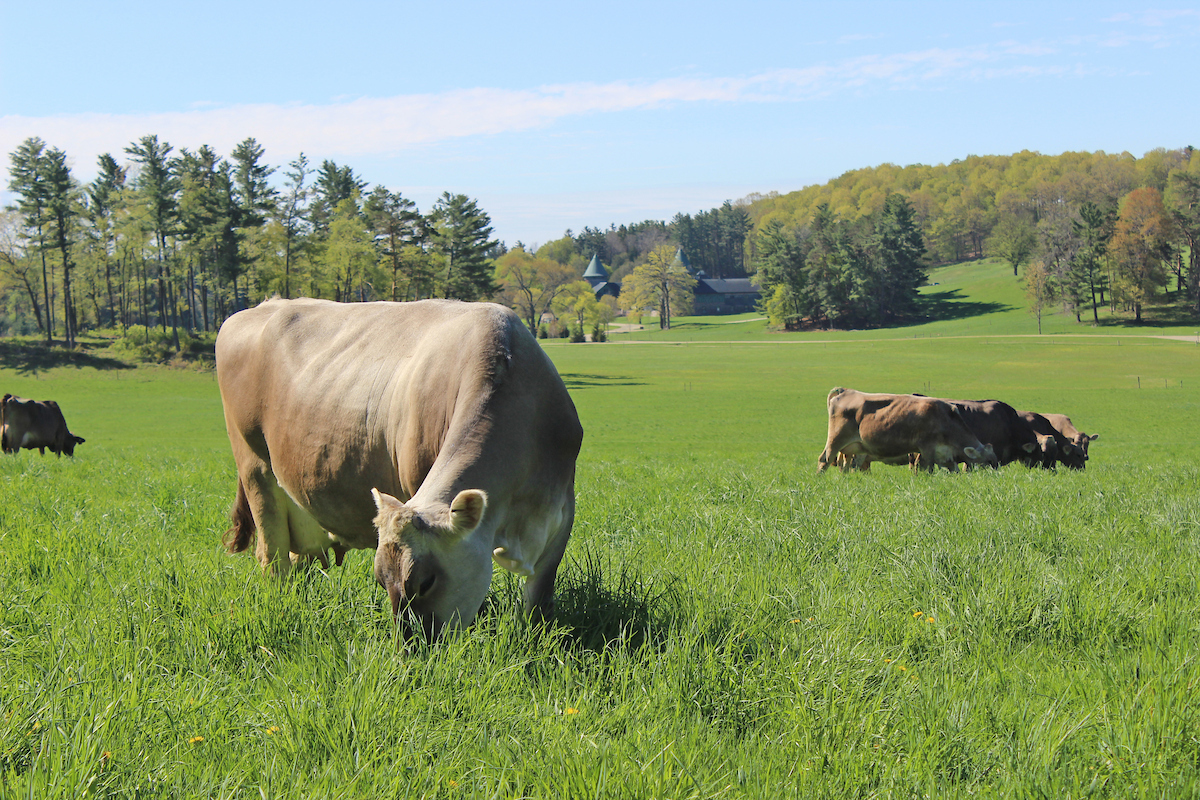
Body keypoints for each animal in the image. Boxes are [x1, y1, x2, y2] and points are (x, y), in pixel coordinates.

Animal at [215, 298, 584, 639]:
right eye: (382, 580)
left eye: (426, 582)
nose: (409, 649)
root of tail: (266, 304)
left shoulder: (562, 513)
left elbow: (539, 601)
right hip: (255, 469)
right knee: (271, 555)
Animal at [818, 388, 997, 472]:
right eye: (988, 461)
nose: (996, 473)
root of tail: (845, 391)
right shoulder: (926, 448)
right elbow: (926, 468)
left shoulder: (945, 455)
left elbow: (954, 470)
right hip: (835, 440)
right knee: (824, 460)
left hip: (856, 448)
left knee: (849, 466)